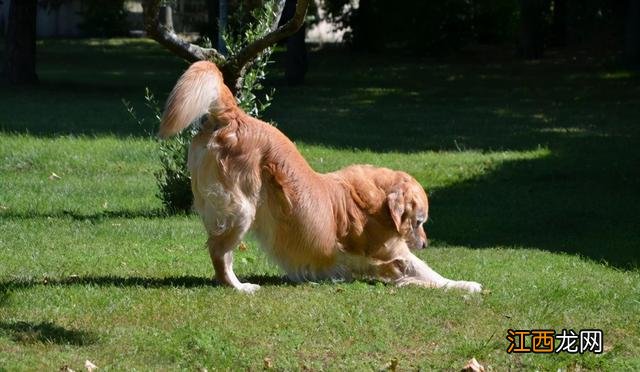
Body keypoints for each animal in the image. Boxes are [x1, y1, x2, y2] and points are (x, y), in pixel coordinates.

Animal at [159, 61, 480, 294]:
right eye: (419, 221)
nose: (425, 243)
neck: (375, 201)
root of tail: (236, 115)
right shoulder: (393, 253)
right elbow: (428, 273)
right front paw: (465, 285)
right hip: (242, 208)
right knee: (219, 252)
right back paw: (240, 287)